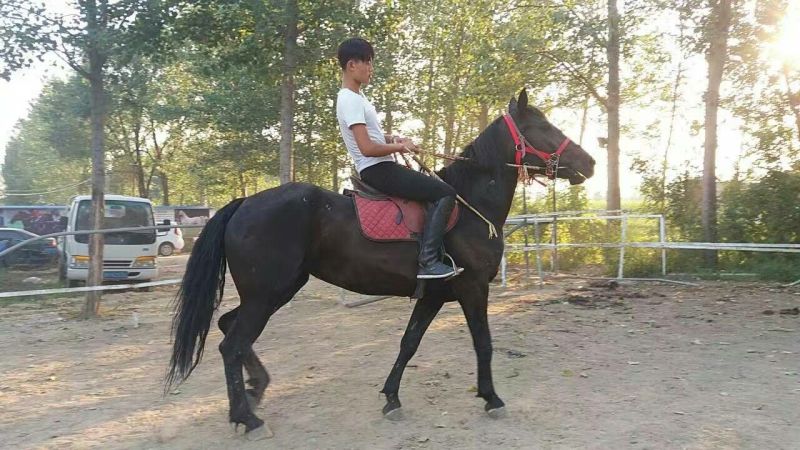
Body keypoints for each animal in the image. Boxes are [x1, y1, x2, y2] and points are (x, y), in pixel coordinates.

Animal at [166, 89, 596, 439]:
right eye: (543, 127)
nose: (589, 163)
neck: (471, 207)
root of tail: (244, 203)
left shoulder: (434, 295)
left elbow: (409, 343)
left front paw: (391, 397)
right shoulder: (474, 288)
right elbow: (483, 343)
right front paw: (492, 398)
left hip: (271, 292)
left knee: (228, 329)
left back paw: (255, 391)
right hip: (267, 294)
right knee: (233, 344)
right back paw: (248, 418)